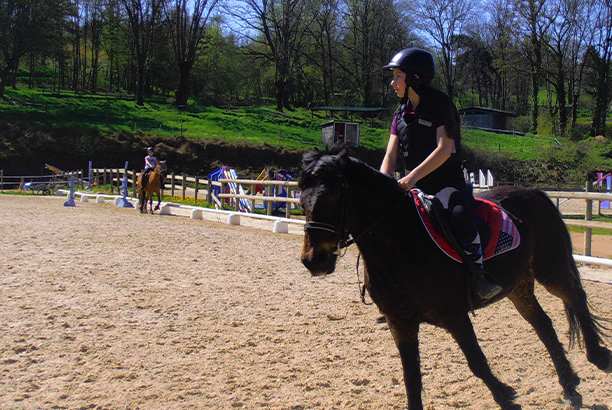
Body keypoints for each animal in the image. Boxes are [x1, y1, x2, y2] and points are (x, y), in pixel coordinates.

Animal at [300, 147, 612, 410]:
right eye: (301, 201)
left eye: (331, 197)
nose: (313, 260)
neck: (401, 241)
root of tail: (534, 193)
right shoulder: (400, 322)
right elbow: (411, 378)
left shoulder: (454, 315)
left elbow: (477, 363)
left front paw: (507, 399)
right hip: (518, 285)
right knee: (544, 325)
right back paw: (570, 387)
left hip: (550, 268)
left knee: (575, 297)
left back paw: (598, 357)